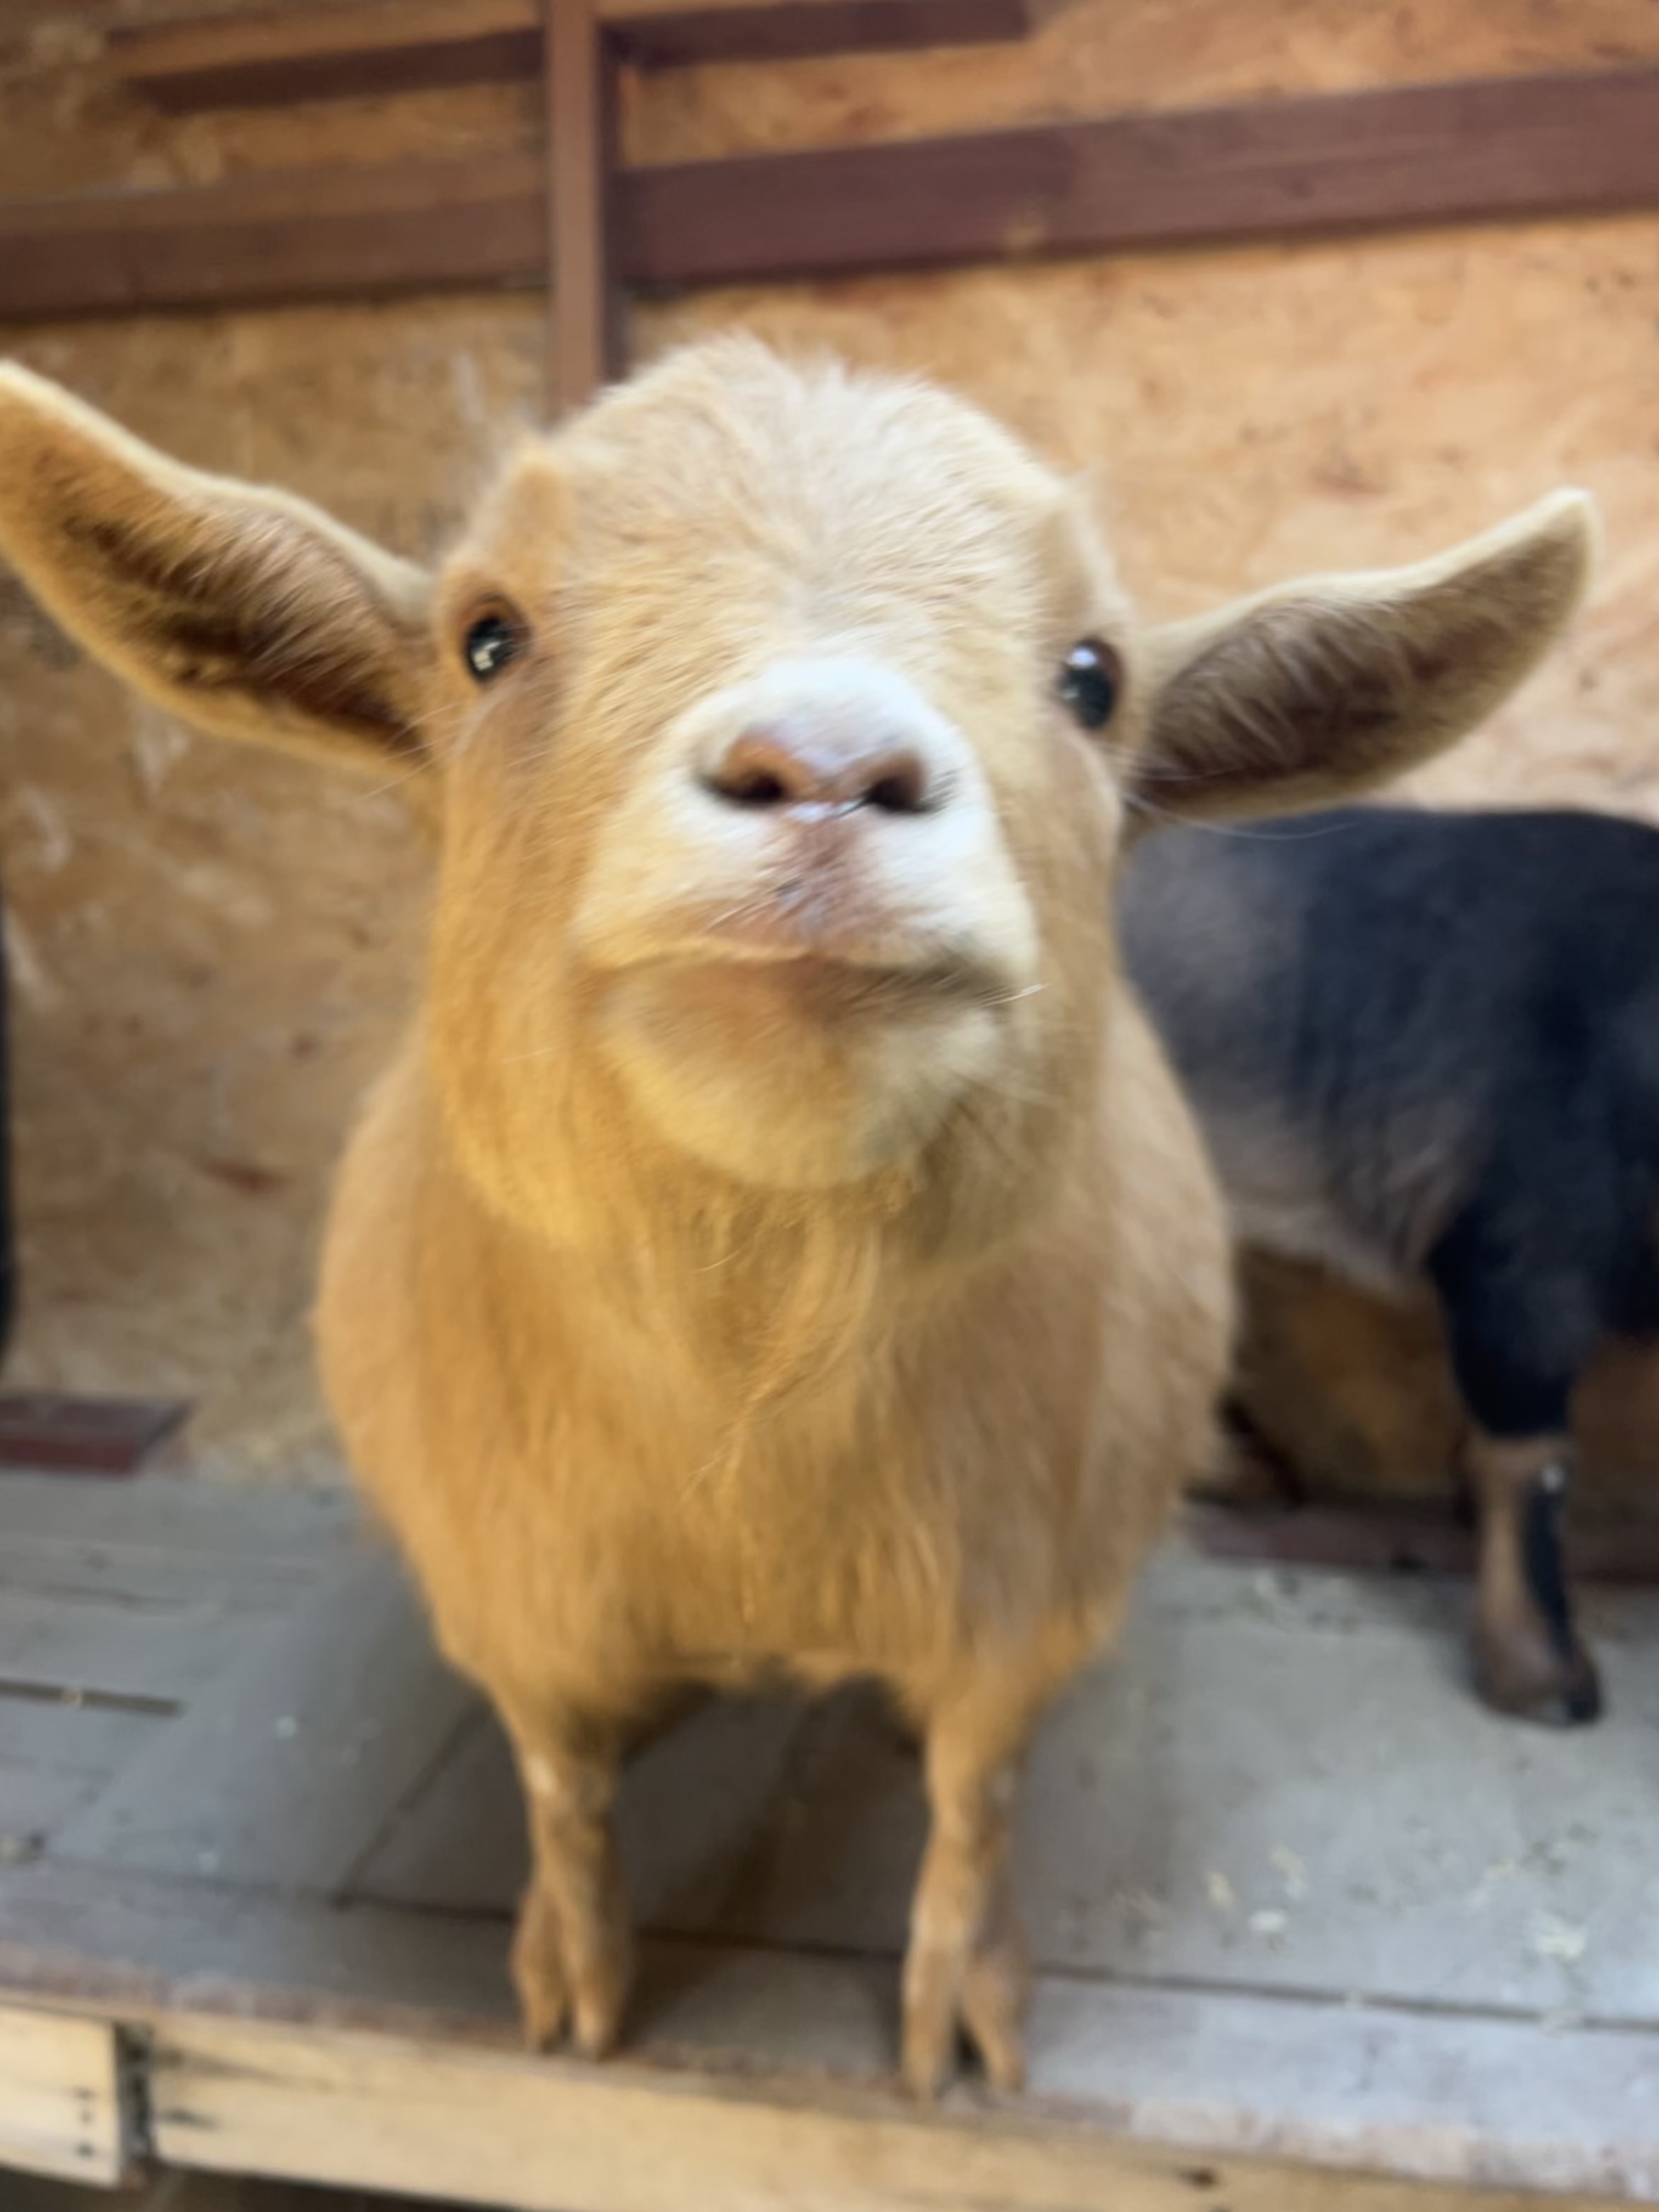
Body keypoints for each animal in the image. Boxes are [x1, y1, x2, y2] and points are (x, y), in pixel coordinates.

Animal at [0, 339, 1592, 2088]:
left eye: (1092, 678)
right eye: (486, 639)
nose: (827, 775)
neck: (756, 1426)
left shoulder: (1029, 1611)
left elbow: (975, 1800)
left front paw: (958, 2018)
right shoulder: (514, 1603)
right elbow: (561, 1789)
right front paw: (576, 1985)